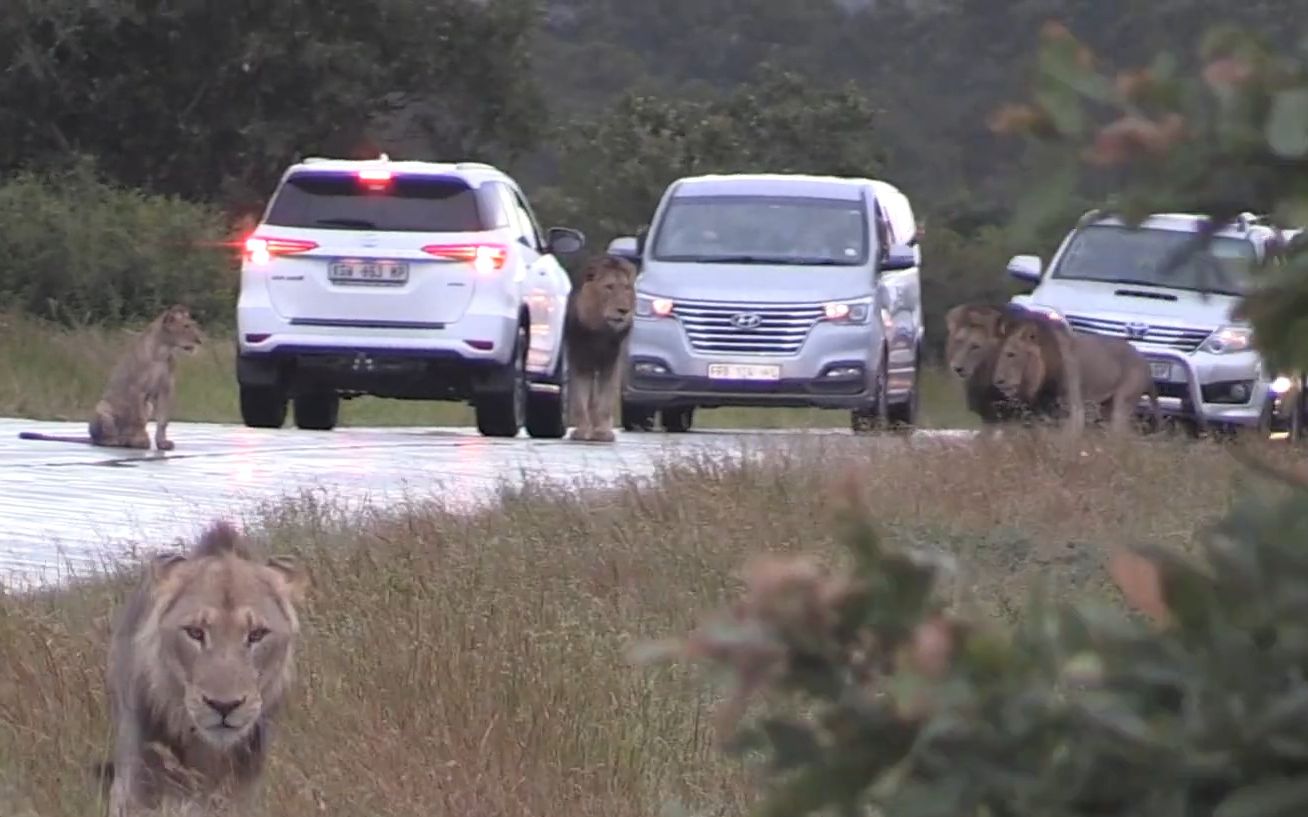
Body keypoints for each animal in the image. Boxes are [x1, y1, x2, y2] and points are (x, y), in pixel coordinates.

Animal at [18, 303, 204, 449]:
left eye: (192, 325)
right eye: (186, 326)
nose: (199, 340)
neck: (163, 350)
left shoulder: (166, 389)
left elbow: (163, 421)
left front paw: (162, 443)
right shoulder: (136, 388)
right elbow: (138, 419)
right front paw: (141, 440)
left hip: (148, 405)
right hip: (102, 407)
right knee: (101, 439)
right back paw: (119, 440)